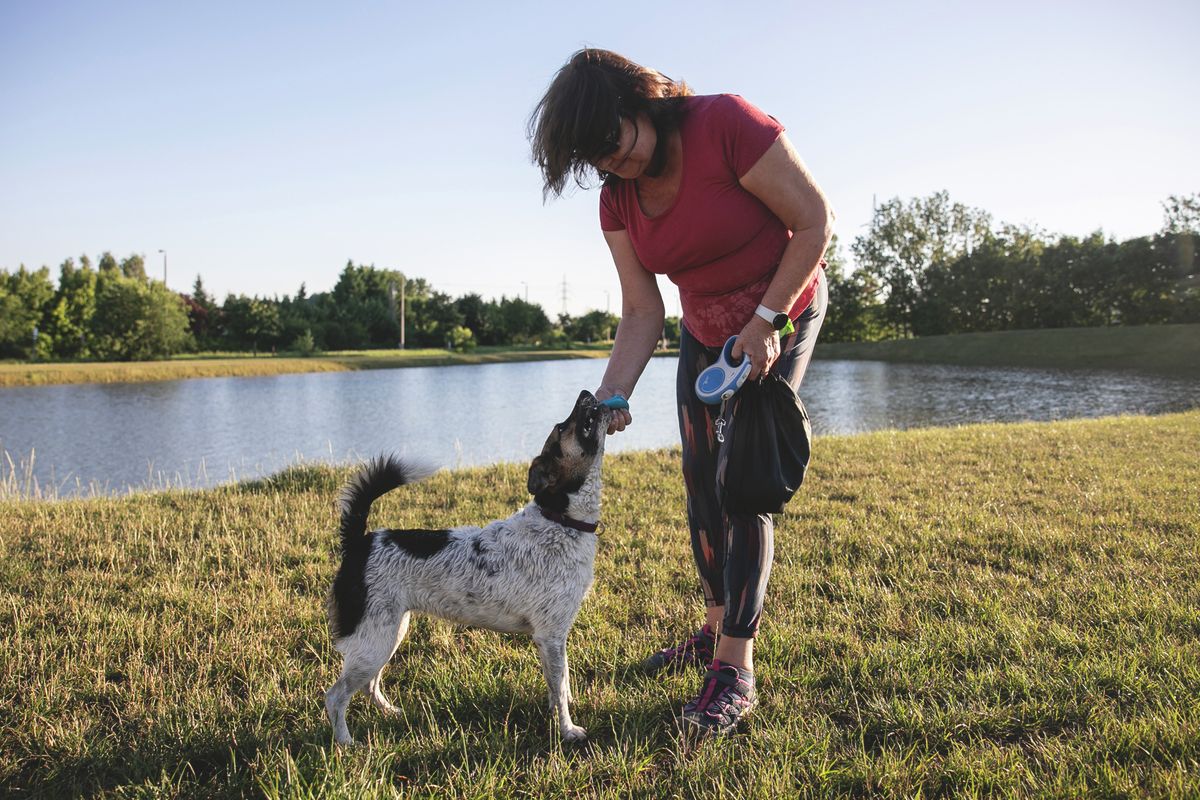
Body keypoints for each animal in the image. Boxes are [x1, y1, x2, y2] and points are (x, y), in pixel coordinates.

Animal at [324, 388, 609, 743]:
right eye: (561, 427)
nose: (586, 392)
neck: (560, 520)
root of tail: (358, 542)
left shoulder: (555, 637)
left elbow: (561, 682)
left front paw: (562, 710)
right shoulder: (550, 634)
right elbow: (559, 688)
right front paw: (567, 729)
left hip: (387, 634)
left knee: (369, 685)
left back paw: (390, 713)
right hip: (373, 641)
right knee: (336, 696)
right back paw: (345, 742)